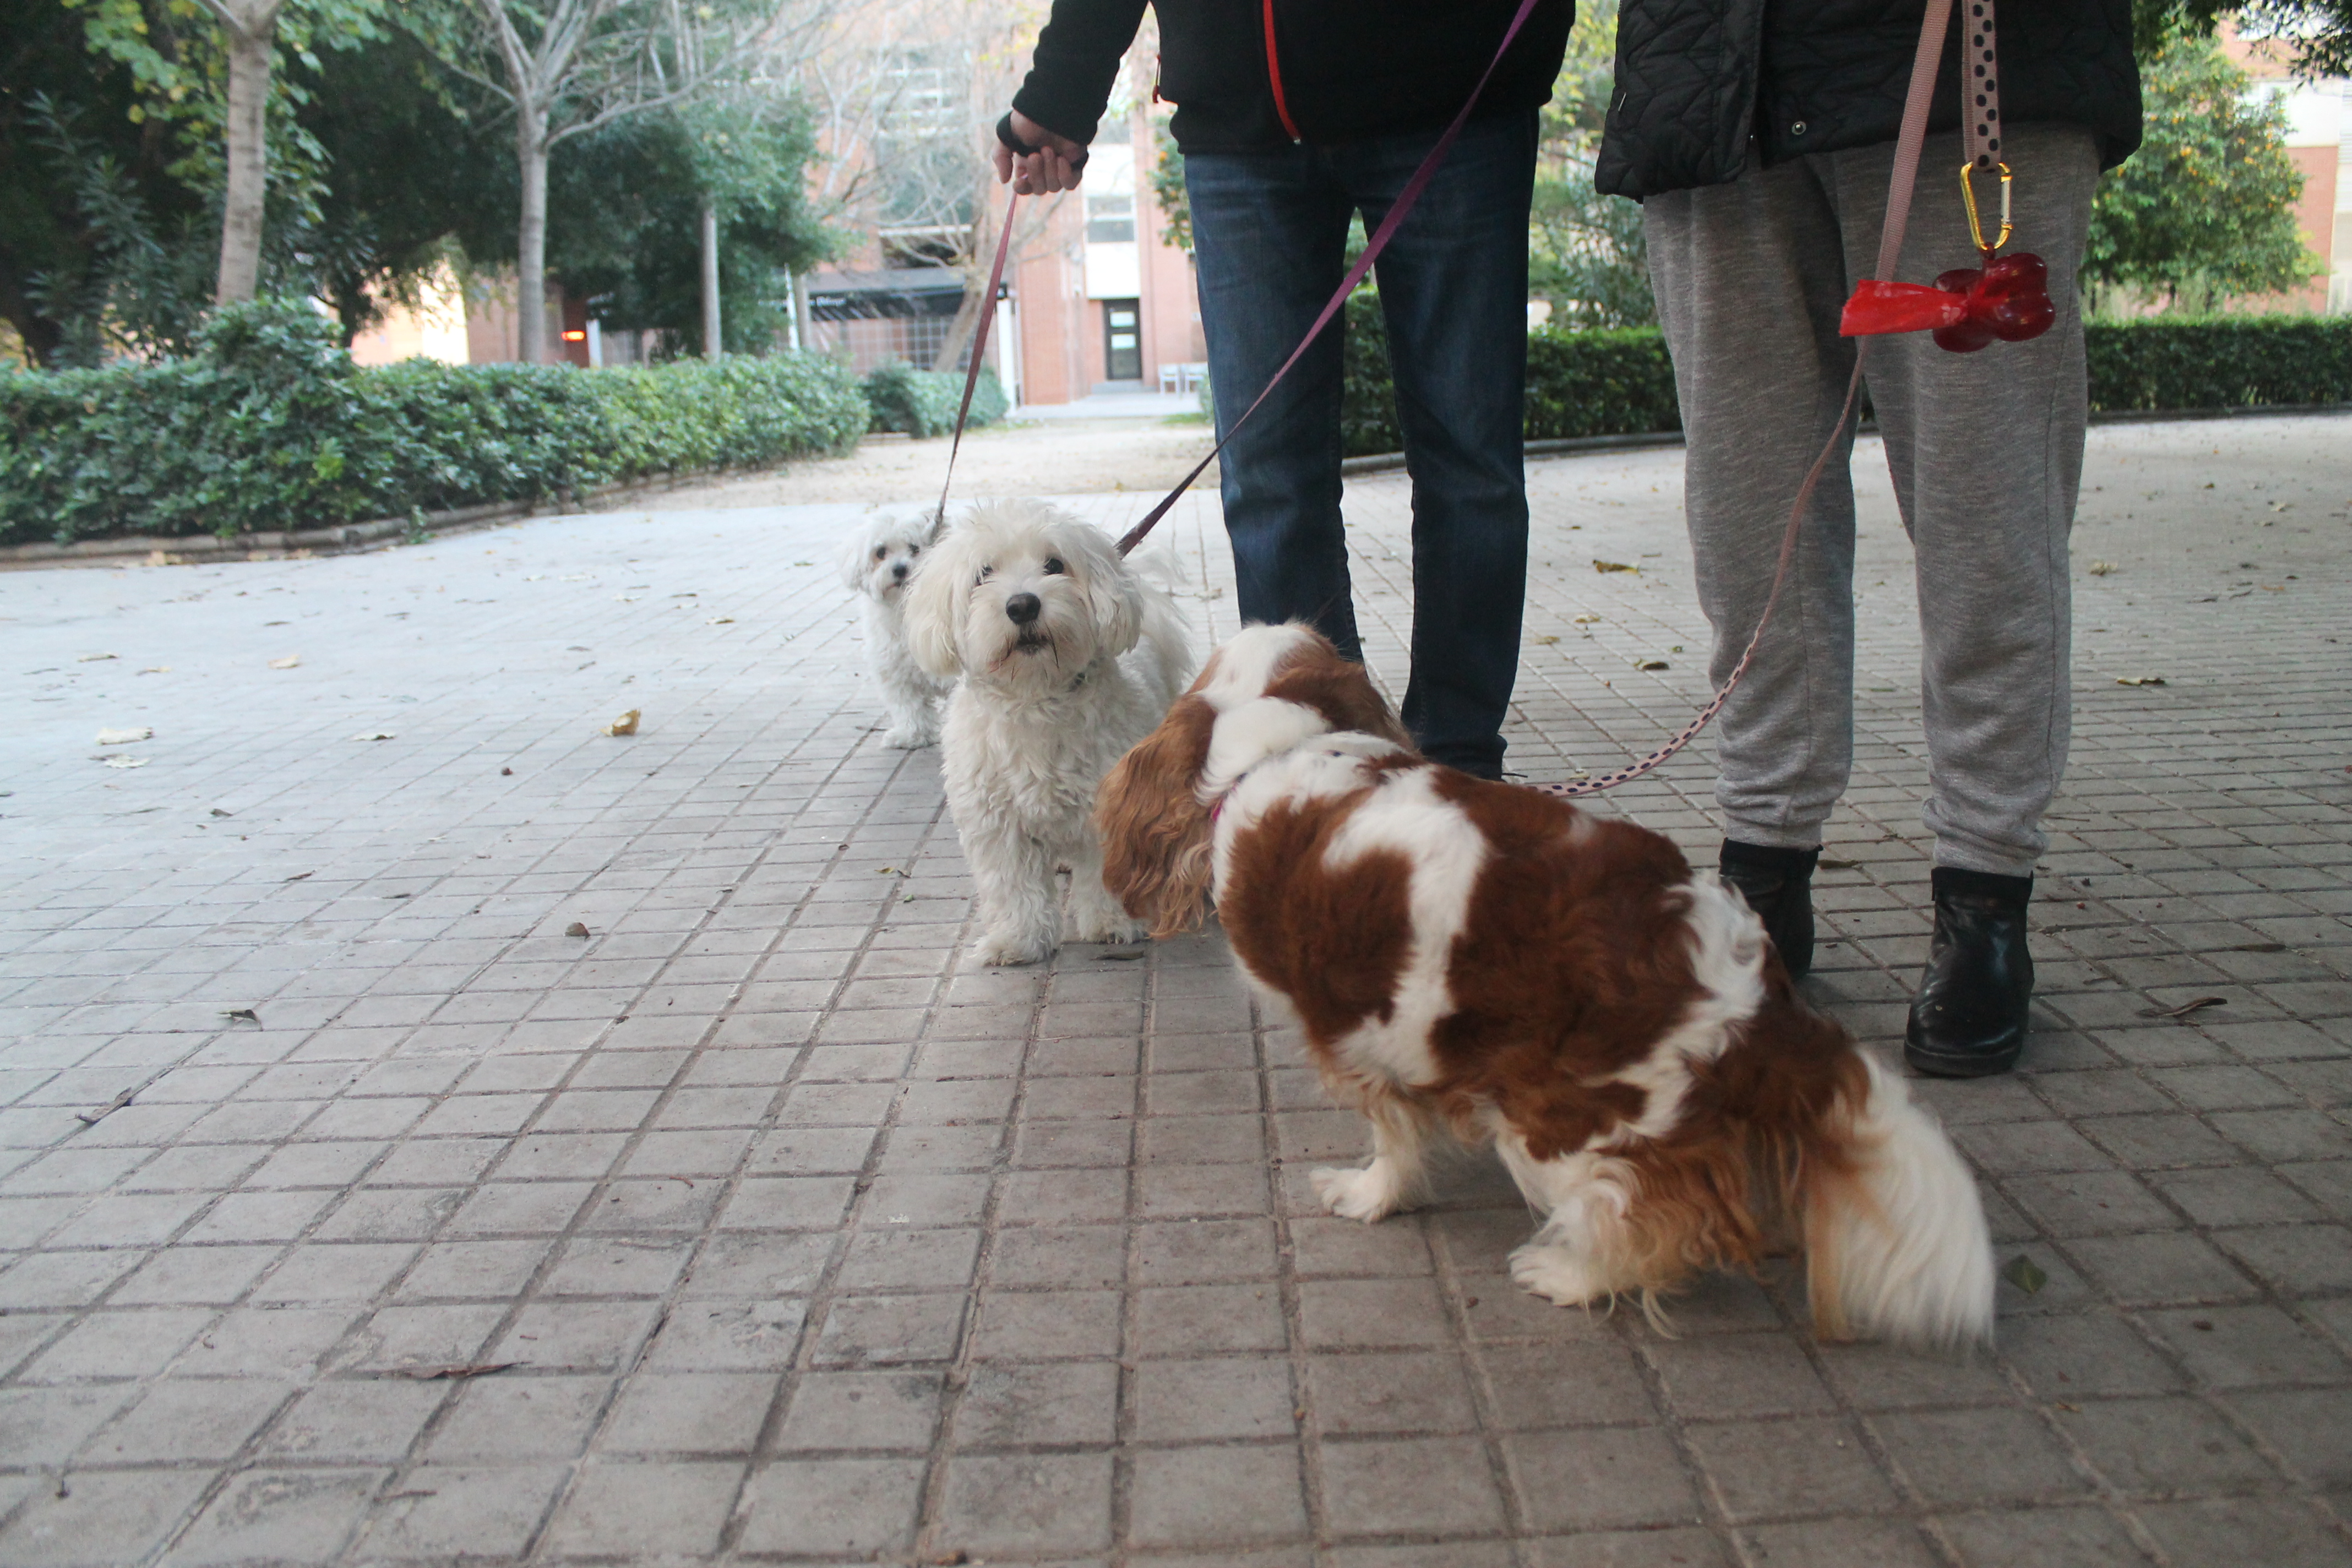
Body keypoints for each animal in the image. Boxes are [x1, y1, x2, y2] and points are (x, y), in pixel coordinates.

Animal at [837, 505, 955, 747]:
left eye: (915, 548)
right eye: (881, 552)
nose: (900, 569)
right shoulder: (895, 672)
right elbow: (909, 706)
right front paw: (912, 735)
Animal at [898, 503, 1195, 968]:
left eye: (1054, 565)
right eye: (983, 573)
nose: (1022, 605)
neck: (1035, 699)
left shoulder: (1110, 808)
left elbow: (1107, 873)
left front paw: (1112, 922)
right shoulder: (996, 822)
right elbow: (1013, 886)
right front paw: (1017, 940)